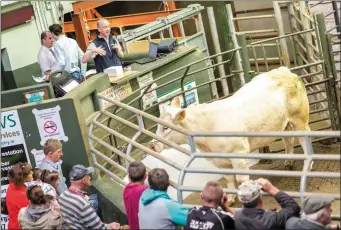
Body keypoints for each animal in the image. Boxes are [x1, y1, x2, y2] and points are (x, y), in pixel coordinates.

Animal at [149, 66, 310, 203]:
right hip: (284, 122)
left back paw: (307, 165)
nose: (152, 145)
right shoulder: (220, 160)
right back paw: (289, 162)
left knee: (304, 137)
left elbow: (241, 179)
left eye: (165, 127)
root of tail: (284, 70)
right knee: (288, 138)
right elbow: (228, 179)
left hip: (299, 118)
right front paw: (230, 198)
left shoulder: (239, 154)